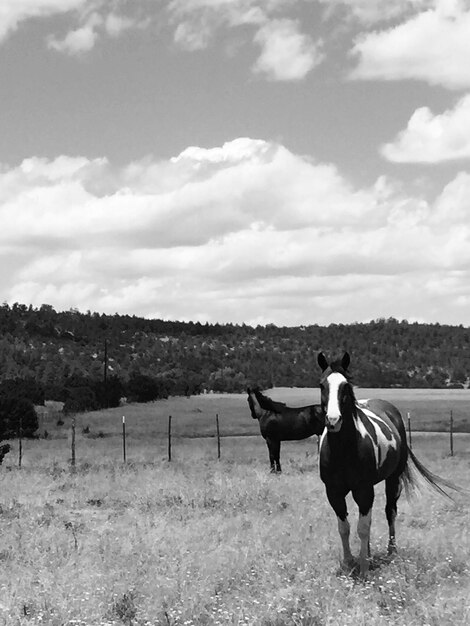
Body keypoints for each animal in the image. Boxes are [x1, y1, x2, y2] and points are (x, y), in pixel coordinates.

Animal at [318, 352, 460, 576]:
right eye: (322, 385)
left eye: (346, 386)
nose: (333, 420)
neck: (343, 450)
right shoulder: (333, 492)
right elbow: (345, 527)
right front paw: (349, 563)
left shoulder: (364, 489)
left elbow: (363, 527)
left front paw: (364, 568)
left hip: (392, 479)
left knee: (389, 511)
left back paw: (391, 551)